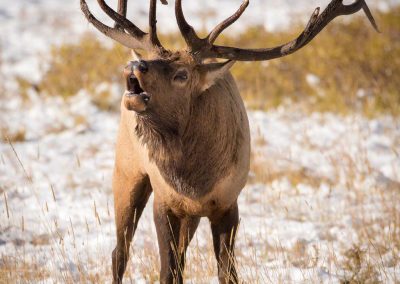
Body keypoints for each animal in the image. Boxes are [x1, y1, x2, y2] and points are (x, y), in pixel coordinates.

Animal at [79, 1, 376, 282]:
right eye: (152, 60)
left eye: (182, 74)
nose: (136, 65)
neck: (194, 181)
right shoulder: (165, 201)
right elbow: (167, 272)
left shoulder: (227, 202)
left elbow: (227, 273)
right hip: (126, 171)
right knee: (120, 252)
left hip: (189, 215)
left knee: (176, 257)